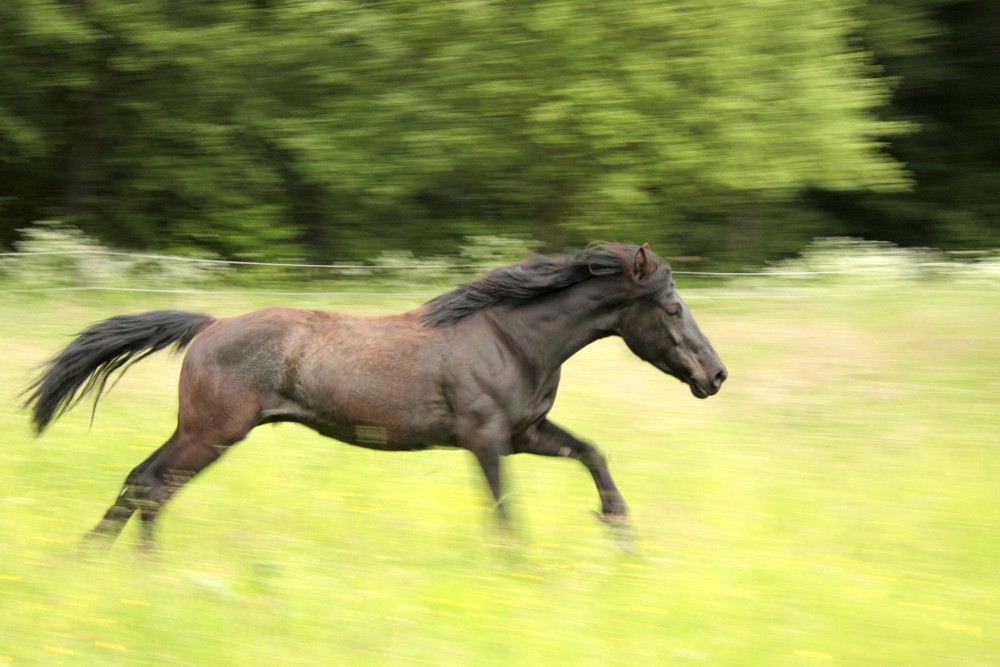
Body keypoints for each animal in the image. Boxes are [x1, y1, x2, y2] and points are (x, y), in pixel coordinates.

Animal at [23, 243, 728, 552]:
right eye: (672, 308)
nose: (716, 376)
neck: (511, 338)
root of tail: (210, 326)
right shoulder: (486, 440)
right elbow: (504, 512)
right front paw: (521, 568)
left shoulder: (525, 434)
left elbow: (592, 453)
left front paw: (619, 529)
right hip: (212, 432)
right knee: (153, 484)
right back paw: (131, 564)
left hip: (198, 430)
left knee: (142, 479)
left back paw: (105, 559)